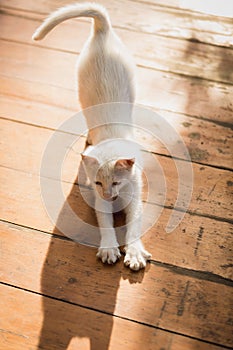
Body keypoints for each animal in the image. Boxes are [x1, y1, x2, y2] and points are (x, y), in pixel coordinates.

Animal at [33, 2, 152, 270]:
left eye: (116, 182)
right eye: (98, 183)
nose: (109, 195)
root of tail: (102, 31)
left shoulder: (135, 196)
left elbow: (134, 225)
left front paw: (135, 253)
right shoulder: (99, 202)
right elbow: (105, 223)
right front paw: (109, 249)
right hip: (82, 91)